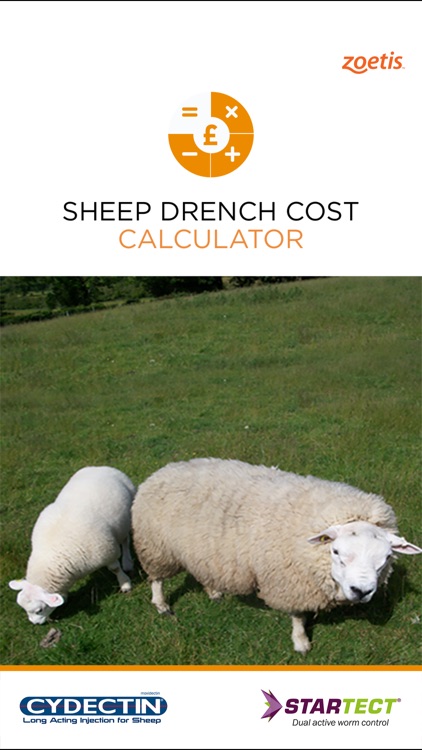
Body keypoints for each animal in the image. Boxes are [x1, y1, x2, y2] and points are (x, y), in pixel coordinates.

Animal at [9, 465, 136, 624]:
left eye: (39, 610)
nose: (35, 623)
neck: (55, 551)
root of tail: (101, 467)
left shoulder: (107, 551)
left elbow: (115, 569)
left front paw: (125, 584)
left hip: (127, 518)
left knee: (125, 541)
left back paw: (127, 562)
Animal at [131, 457, 422, 654]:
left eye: (386, 558)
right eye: (337, 552)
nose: (361, 591)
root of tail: (165, 469)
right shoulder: (289, 581)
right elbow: (297, 616)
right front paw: (301, 642)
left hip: (199, 548)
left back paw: (213, 591)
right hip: (156, 547)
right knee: (157, 579)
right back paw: (161, 605)